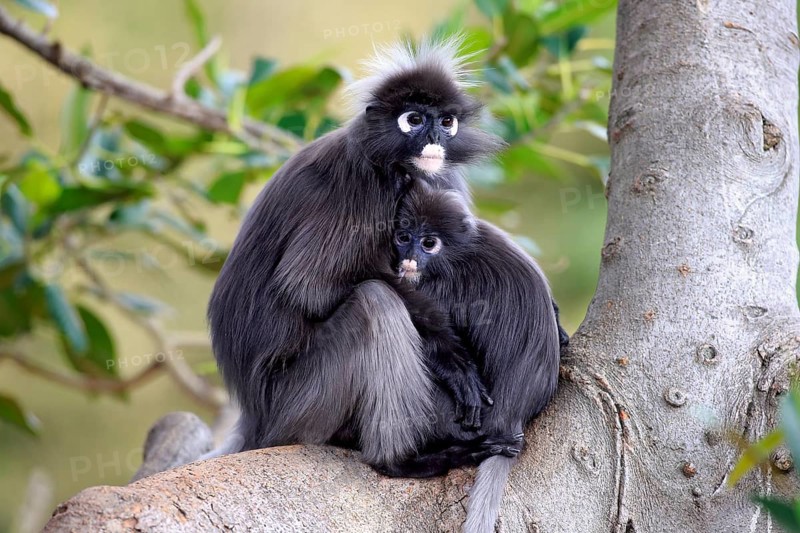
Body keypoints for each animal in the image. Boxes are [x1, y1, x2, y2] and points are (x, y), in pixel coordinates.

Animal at [205, 37, 518, 475]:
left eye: (446, 122)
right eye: (414, 120)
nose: (435, 140)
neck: (394, 166)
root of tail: (255, 420)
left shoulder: (439, 180)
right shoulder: (364, 188)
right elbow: (309, 287)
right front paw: (449, 356)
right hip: (299, 405)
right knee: (374, 301)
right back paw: (403, 461)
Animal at [387, 181, 562, 532]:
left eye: (429, 243)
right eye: (404, 236)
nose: (410, 260)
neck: (458, 252)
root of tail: (509, 419)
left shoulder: (442, 287)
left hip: (446, 415)